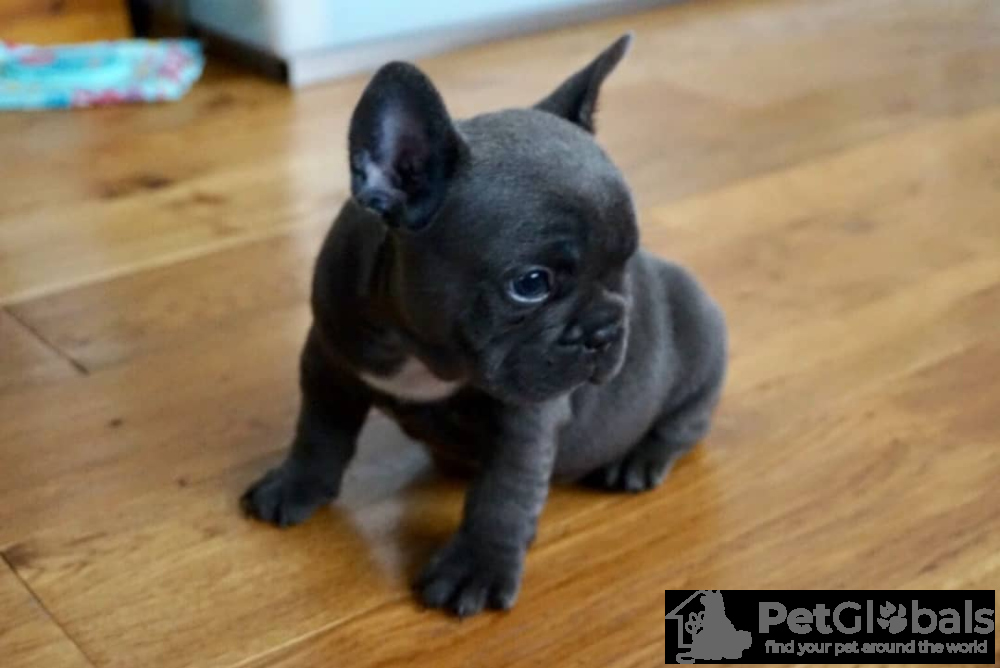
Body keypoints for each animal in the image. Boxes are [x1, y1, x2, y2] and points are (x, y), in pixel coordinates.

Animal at [241, 33, 727, 617]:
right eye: (531, 283)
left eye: (624, 265)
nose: (606, 330)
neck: (420, 351)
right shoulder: (330, 360)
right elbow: (318, 430)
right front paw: (296, 485)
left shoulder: (526, 419)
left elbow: (504, 493)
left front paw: (477, 566)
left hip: (701, 334)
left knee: (686, 421)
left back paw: (640, 458)